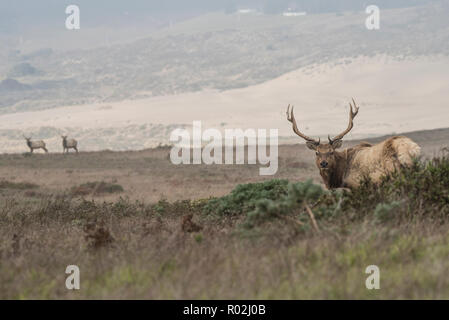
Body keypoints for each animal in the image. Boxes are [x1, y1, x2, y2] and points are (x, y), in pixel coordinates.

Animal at [288, 99, 420, 190]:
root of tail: (411, 148)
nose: (323, 163)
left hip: (394, 173)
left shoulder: (357, 185)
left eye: (331, 151)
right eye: (317, 152)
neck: (340, 177)